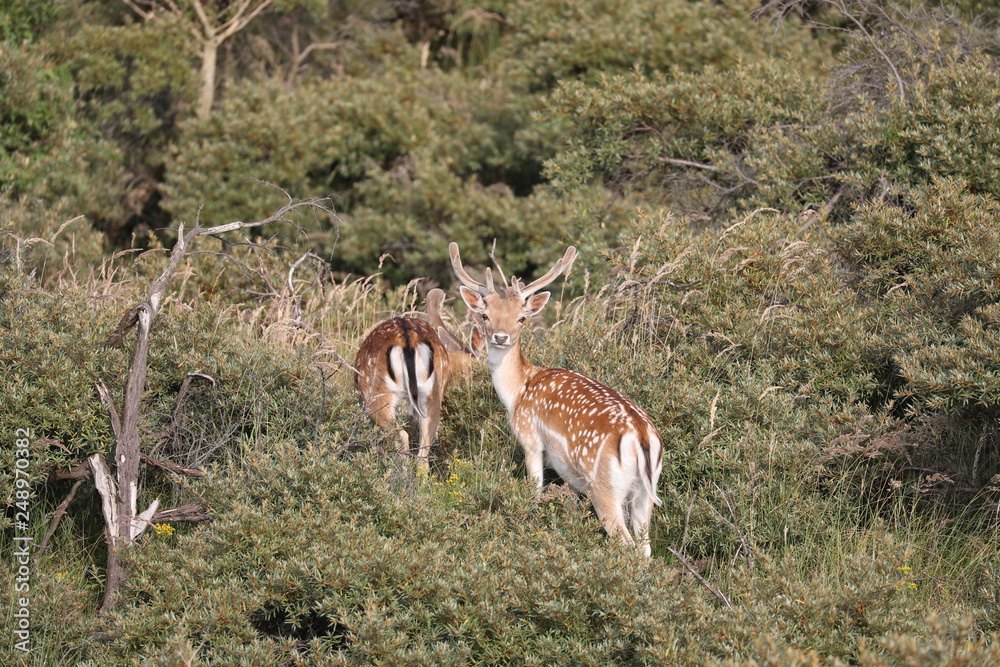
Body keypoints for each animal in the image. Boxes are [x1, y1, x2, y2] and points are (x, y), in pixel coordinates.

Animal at [449, 242, 663, 556]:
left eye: (522, 318)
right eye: (485, 315)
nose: (500, 337)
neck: (518, 391)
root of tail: (642, 437)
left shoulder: (530, 438)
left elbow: (534, 489)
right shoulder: (569, 476)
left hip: (604, 486)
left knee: (625, 543)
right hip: (645, 493)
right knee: (645, 550)